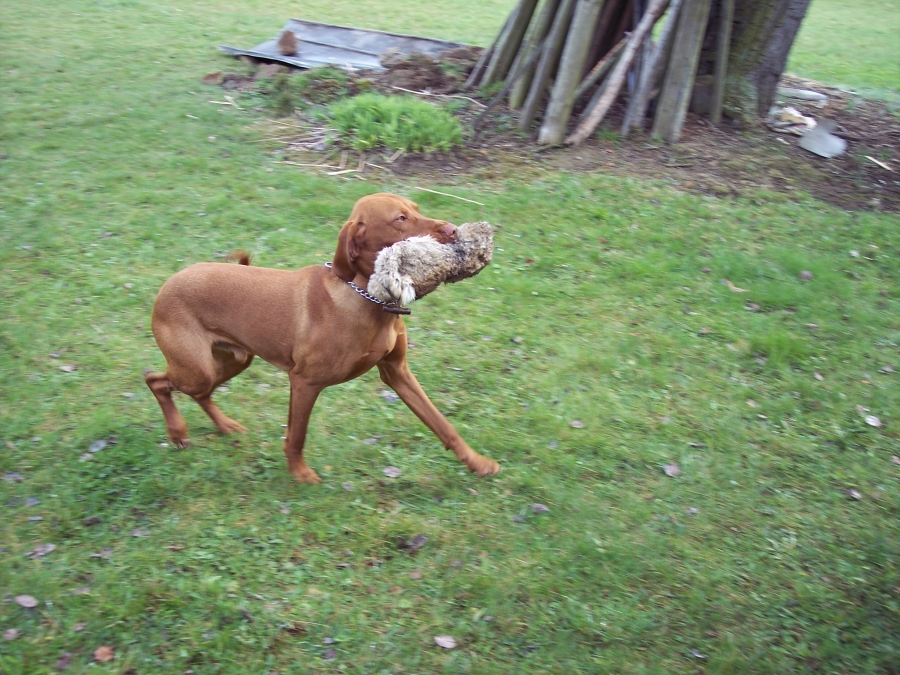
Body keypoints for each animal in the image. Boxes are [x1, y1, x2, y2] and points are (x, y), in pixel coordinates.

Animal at [144, 193, 501, 483]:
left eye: (416, 208)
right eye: (400, 218)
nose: (453, 231)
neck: (367, 299)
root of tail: (168, 283)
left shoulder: (397, 372)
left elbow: (441, 424)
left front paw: (478, 462)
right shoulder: (304, 382)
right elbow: (297, 436)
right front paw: (300, 474)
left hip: (235, 360)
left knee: (199, 393)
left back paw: (224, 426)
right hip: (197, 369)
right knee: (156, 380)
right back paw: (177, 432)